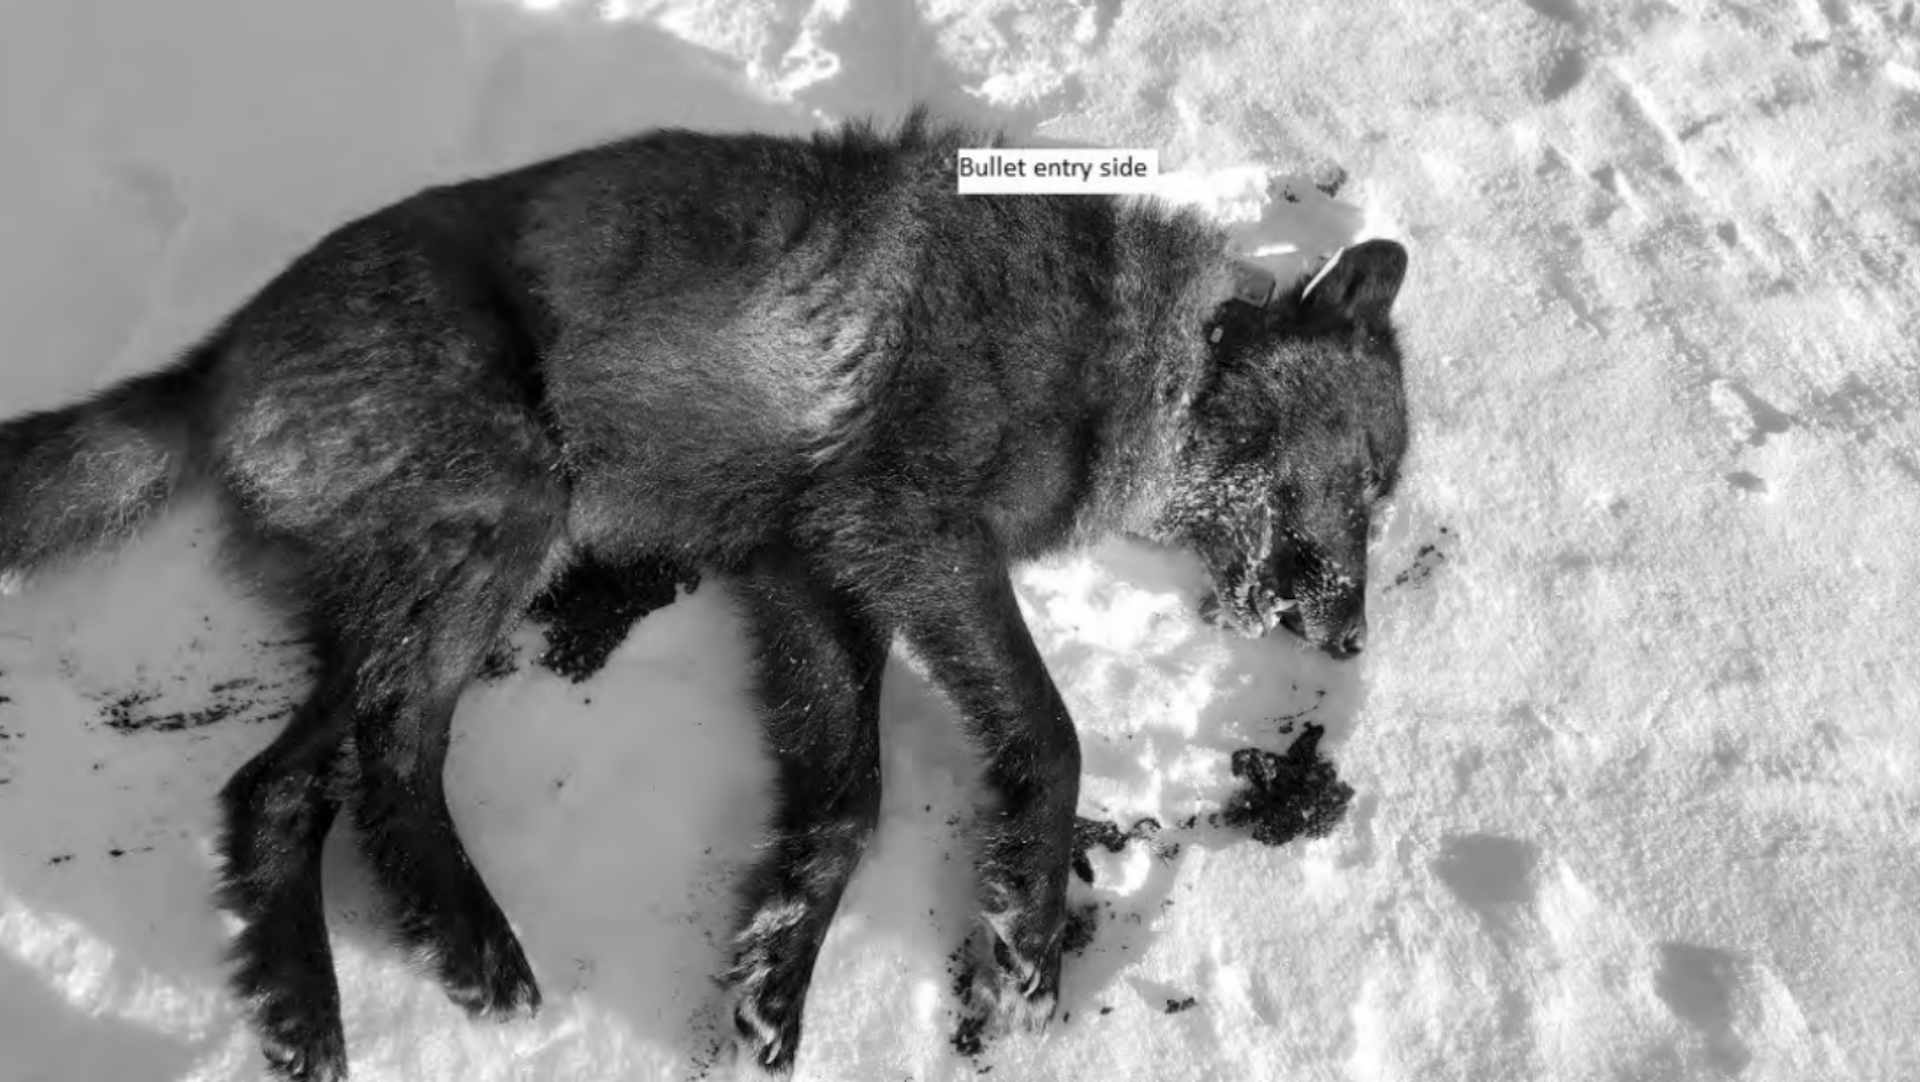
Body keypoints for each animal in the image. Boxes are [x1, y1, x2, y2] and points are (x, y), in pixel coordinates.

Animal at [0, 110, 1409, 1080]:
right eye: (1372, 480)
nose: (1352, 639)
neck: (1141, 357)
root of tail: (213, 355)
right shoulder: (913, 536)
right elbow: (1051, 734)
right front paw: (1026, 947)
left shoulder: (812, 578)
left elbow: (845, 806)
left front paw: (776, 976)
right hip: (515, 511)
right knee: (328, 765)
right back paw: (383, 973)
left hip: (438, 576)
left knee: (331, 772)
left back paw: (375, 970)